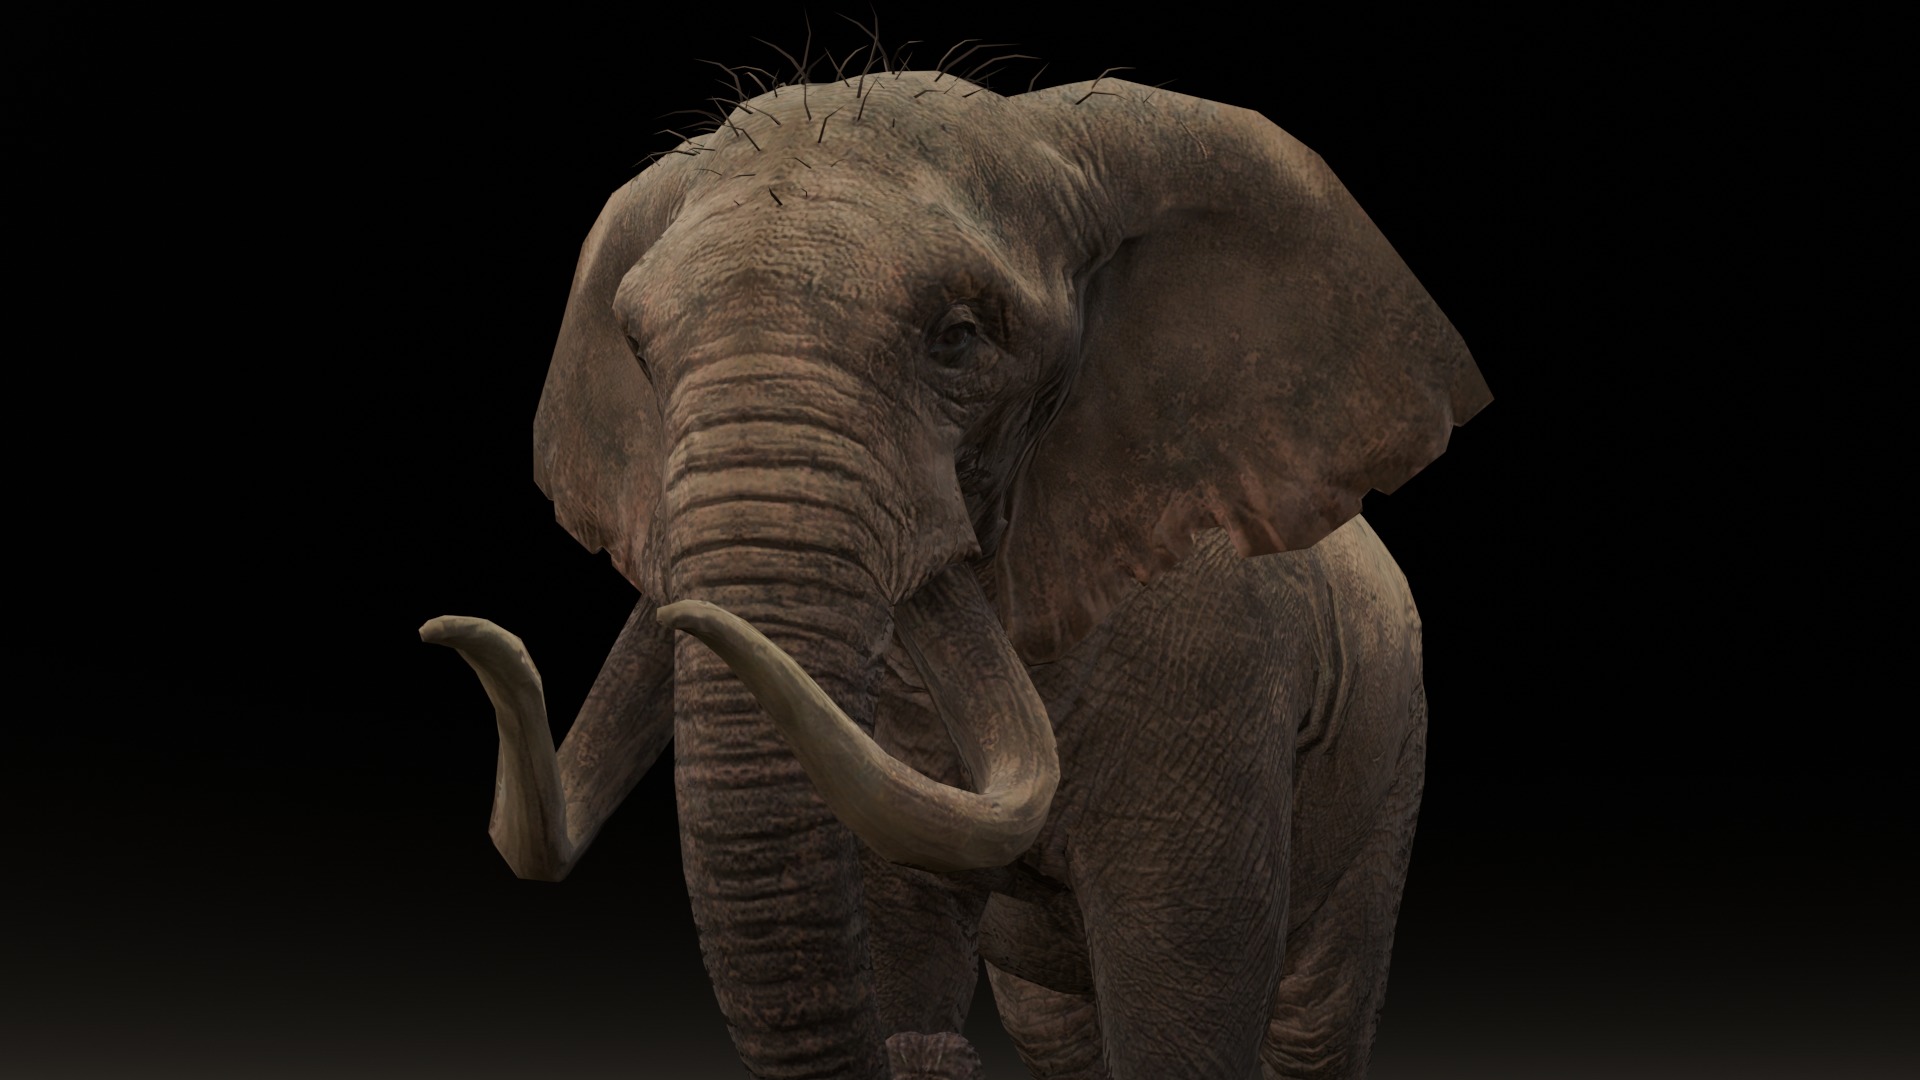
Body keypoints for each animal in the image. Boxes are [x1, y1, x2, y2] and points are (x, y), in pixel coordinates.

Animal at [423, 57, 1488, 1080]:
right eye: (640, 351)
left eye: (961, 338)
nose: (935, 1059)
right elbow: (898, 921)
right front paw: (917, 1035)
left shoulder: (1220, 665)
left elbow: (1184, 994)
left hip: (1394, 748)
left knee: (1318, 1018)